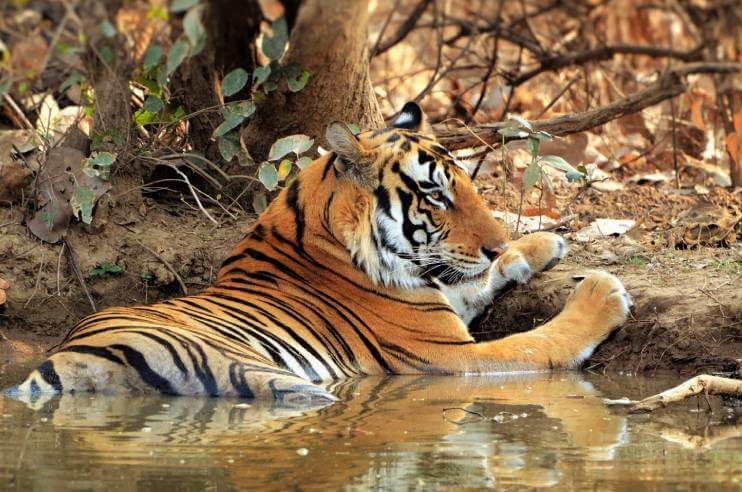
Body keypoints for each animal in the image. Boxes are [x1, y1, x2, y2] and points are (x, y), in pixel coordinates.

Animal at [8, 102, 632, 403]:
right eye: (435, 194)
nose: (497, 239)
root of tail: (61, 362)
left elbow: (474, 277)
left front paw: (539, 243)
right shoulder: (446, 356)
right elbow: (540, 342)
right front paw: (601, 293)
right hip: (273, 379)